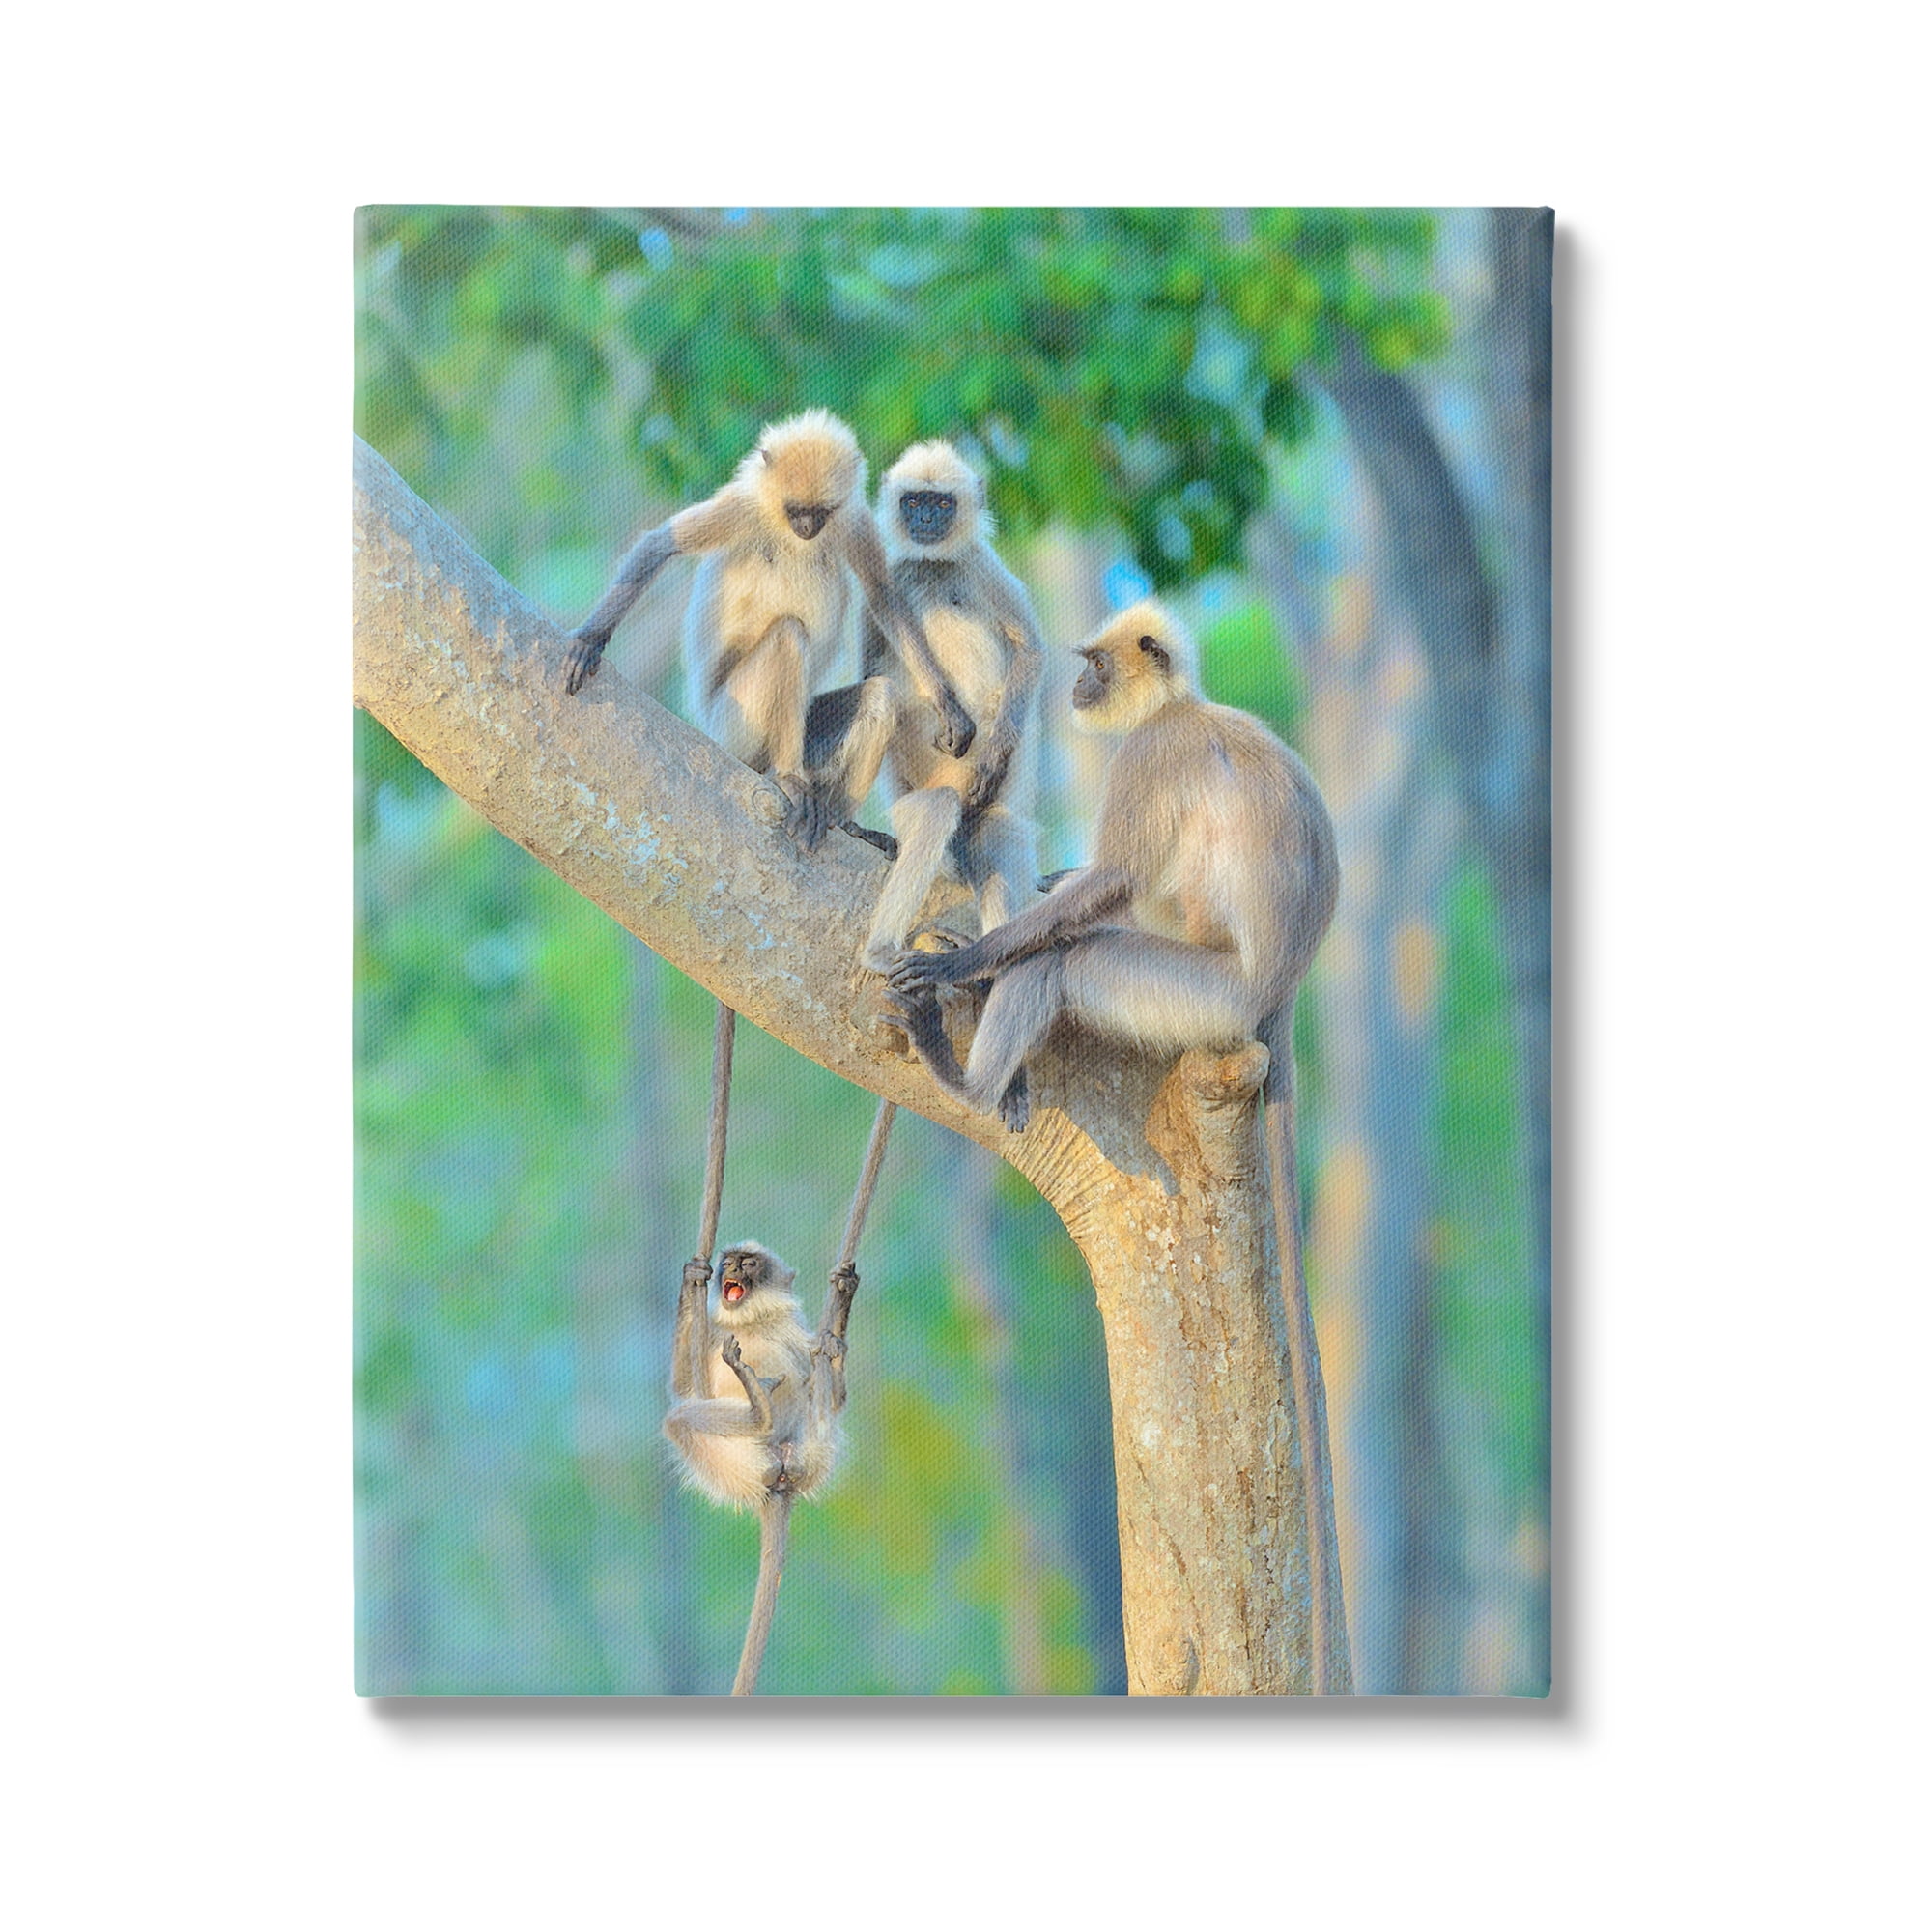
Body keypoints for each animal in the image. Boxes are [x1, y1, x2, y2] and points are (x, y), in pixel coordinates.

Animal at [561, 409, 975, 847]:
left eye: (820, 512)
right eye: (795, 511)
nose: (807, 527)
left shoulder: (853, 519)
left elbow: (884, 598)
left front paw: (949, 705)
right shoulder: (743, 506)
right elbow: (660, 545)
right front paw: (589, 640)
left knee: (881, 695)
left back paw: (843, 820)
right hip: (733, 725)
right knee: (789, 635)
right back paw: (788, 778)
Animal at [664, 1240, 859, 1695]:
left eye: (749, 1264)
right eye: (729, 1262)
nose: (731, 1268)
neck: (752, 1323)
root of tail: (780, 1477)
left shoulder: (796, 1333)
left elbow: (834, 1397)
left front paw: (842, 1302)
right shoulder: (716, 1334)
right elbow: (683, 1387)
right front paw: (691, 1276)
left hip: (810, 1450)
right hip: (736, 1464)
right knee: (681, 1420)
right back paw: (757, 1409)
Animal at [851, 440, 1044, 969]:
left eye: (942, 504)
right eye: (914, 501)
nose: (926, 521)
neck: (934, 566)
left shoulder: (982, 564)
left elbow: (1029, 651)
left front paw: (993, 754)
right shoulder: (893, 578)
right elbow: (873, 678)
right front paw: (949, 711)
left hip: (989, 802)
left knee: (994, 837)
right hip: (919, 795)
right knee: (936, 809)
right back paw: (880, 950)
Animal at [885, 599, 1350, 1692]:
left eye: (1095, 663)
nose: (1079, 687)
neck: (1183, 705)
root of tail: (1277, 994)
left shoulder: (1150, 753)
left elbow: (1113, 884)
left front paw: (968, 962)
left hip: (1194, 995)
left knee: (1073, 957)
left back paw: (968, 1071)